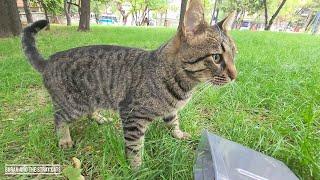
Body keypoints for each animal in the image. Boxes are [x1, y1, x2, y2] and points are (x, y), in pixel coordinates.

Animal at [21, 0, 238, 167]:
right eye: (217, 57)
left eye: (234, 54)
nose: (235, 75)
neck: (184, 86)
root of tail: (49, 60)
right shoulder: (132, 116)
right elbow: (134, 148)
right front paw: (137, 168)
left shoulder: (170, 110)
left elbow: (173, 120)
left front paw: (177, 133)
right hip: (73, 106)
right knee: (58, 118)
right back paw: (64, 138)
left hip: (90, 99)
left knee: (88, 112)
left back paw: (99, 118)